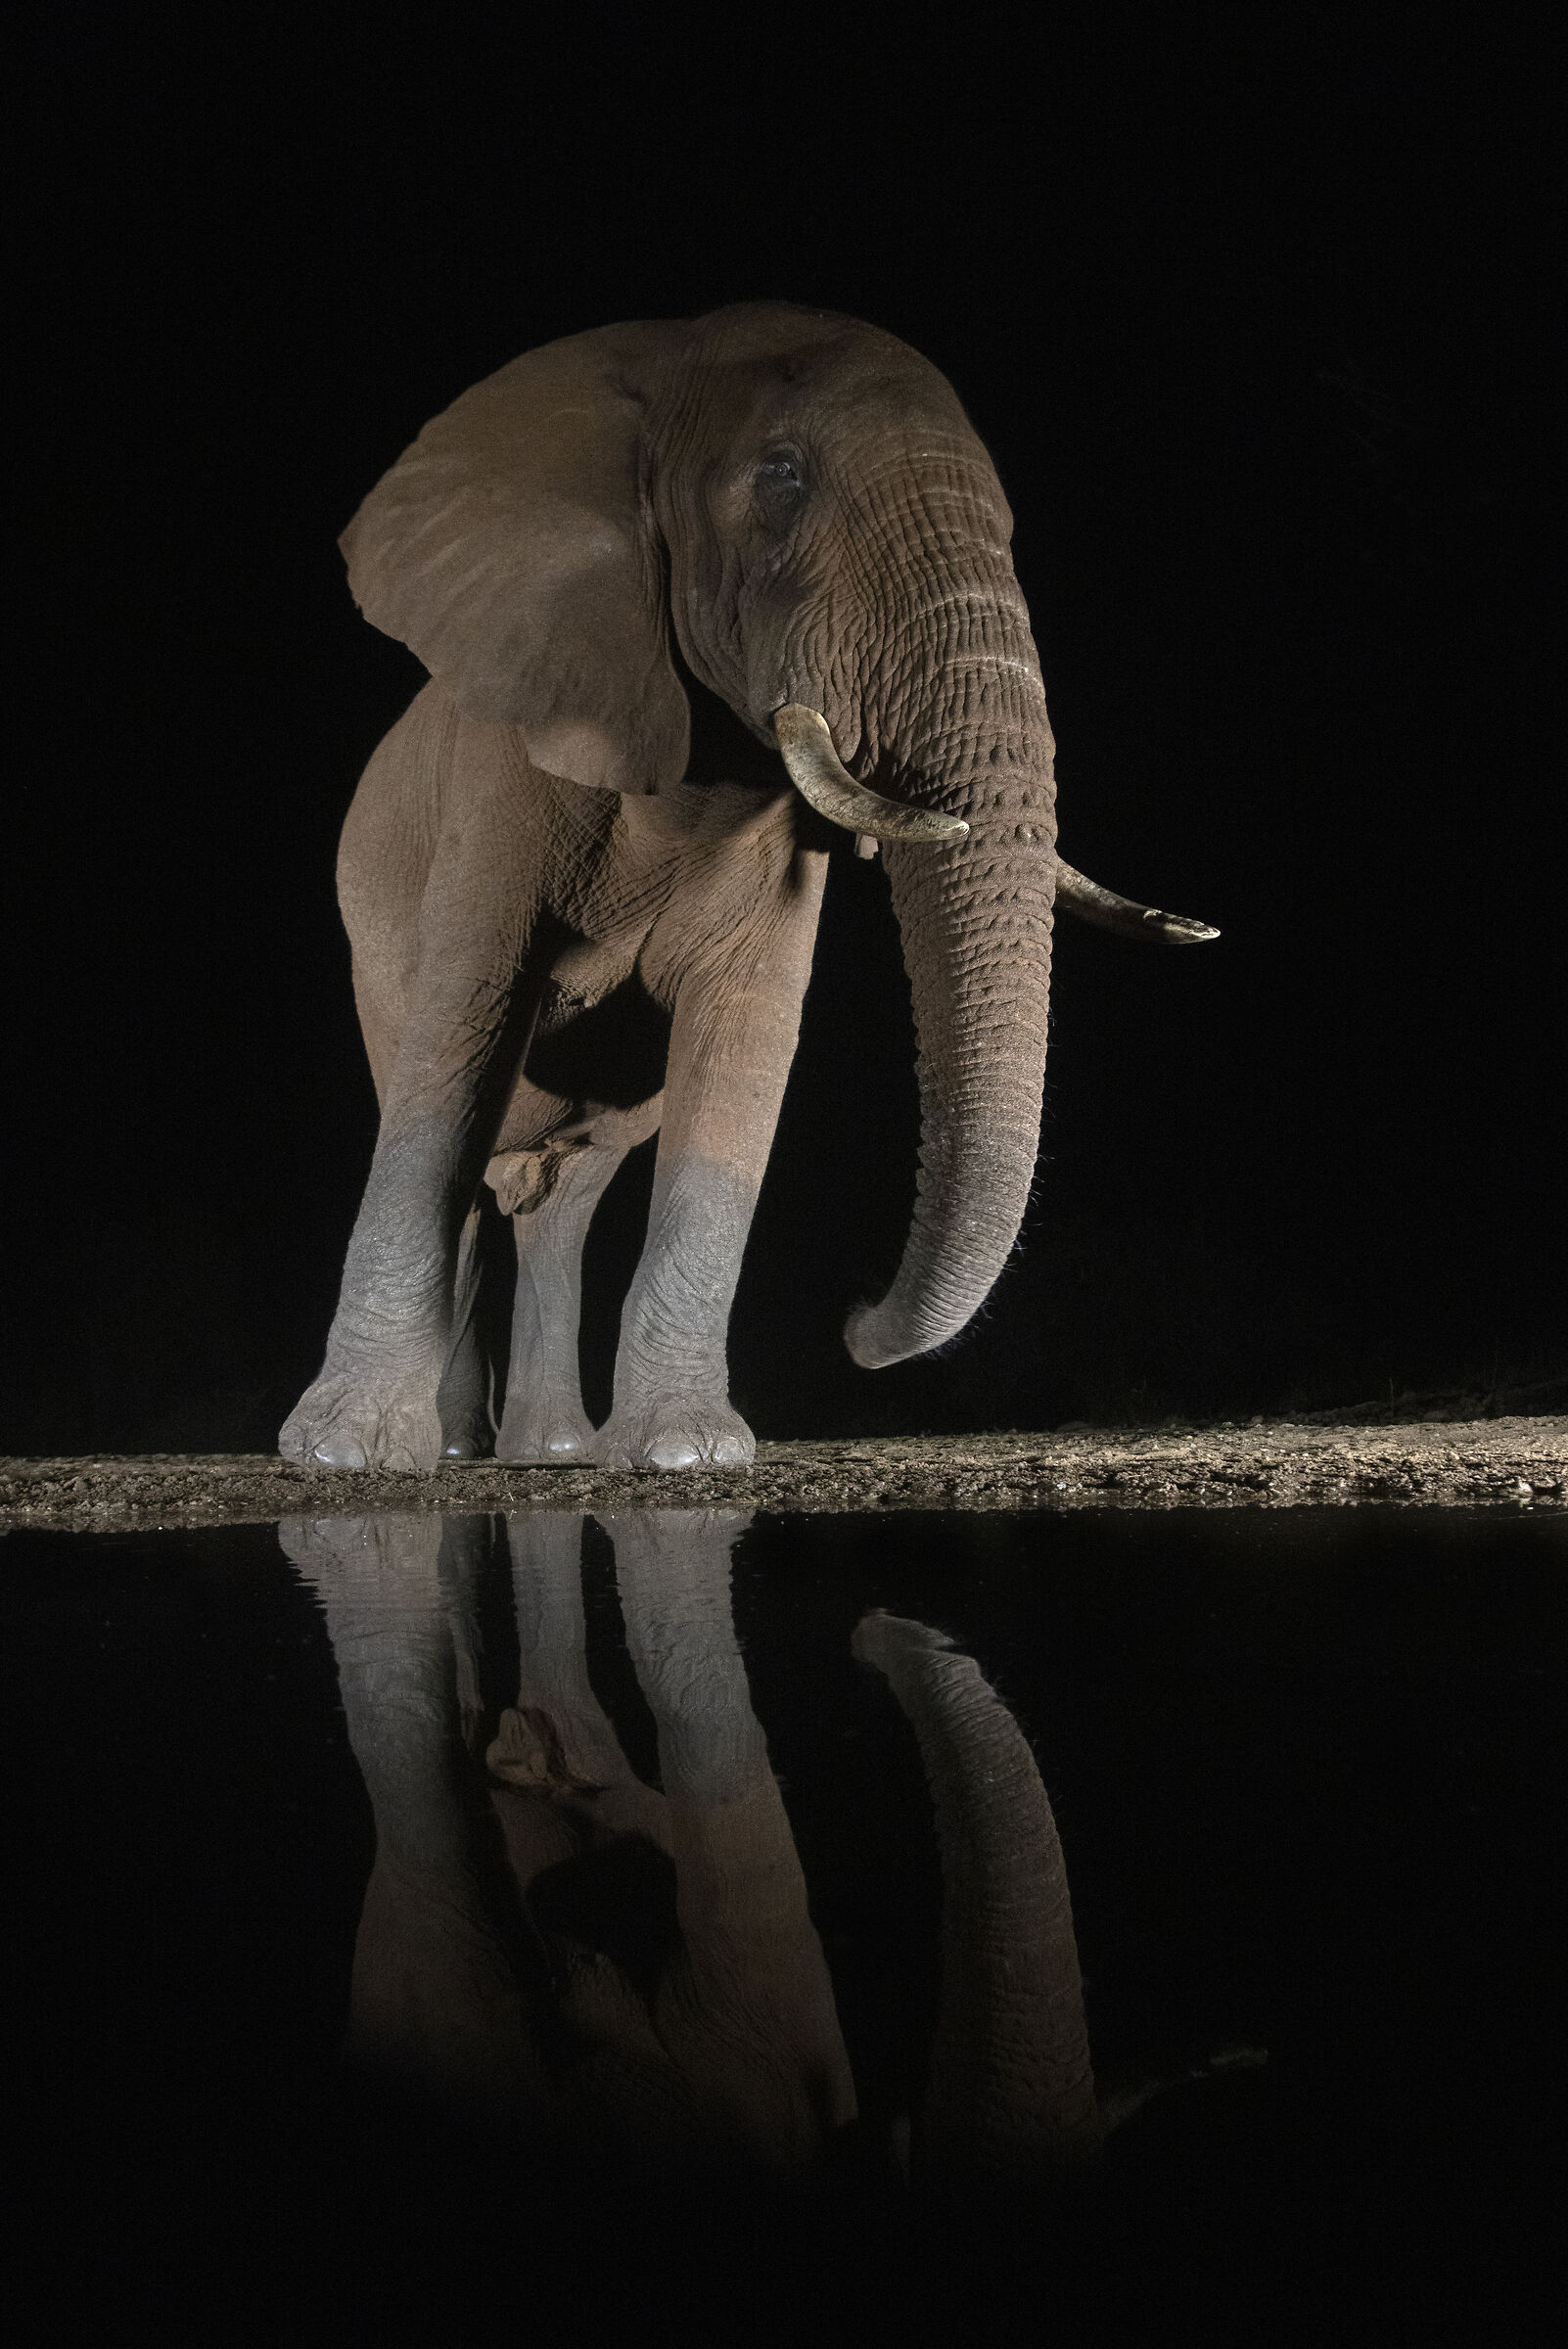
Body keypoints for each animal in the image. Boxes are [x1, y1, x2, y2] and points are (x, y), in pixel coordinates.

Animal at [280, 304, 1218, 1473]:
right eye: (782, 480)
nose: (853, 1320)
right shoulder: (502, 771)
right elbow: (464, 1026)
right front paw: (340, 1458)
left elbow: (747, 1036)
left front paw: (686, 1456)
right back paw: (460, 1455)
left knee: (567, 1192)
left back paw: (552, 1454)